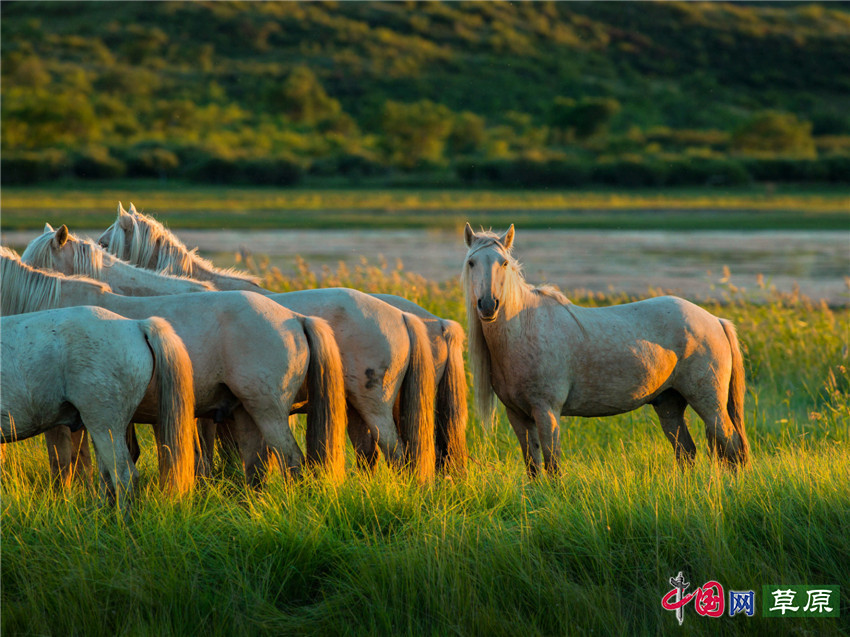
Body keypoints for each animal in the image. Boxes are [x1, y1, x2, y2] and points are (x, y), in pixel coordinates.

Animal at [0, 248, 344, 482]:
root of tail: (295, 318)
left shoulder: (64, 421)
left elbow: (66, 467)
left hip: (268, 411)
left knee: (291, 461)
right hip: (246, 412)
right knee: (257, 465)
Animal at [460, 221, 744, 474]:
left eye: (504, 263)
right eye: (472, 263)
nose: (488, 305)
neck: (524, 328)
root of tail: (716, 321)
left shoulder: (546, 411)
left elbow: (552, 465)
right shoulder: (517, 416)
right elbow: (532, 466)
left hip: (710, 403)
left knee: (730, 446)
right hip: (669, 404)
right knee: (686, 452)